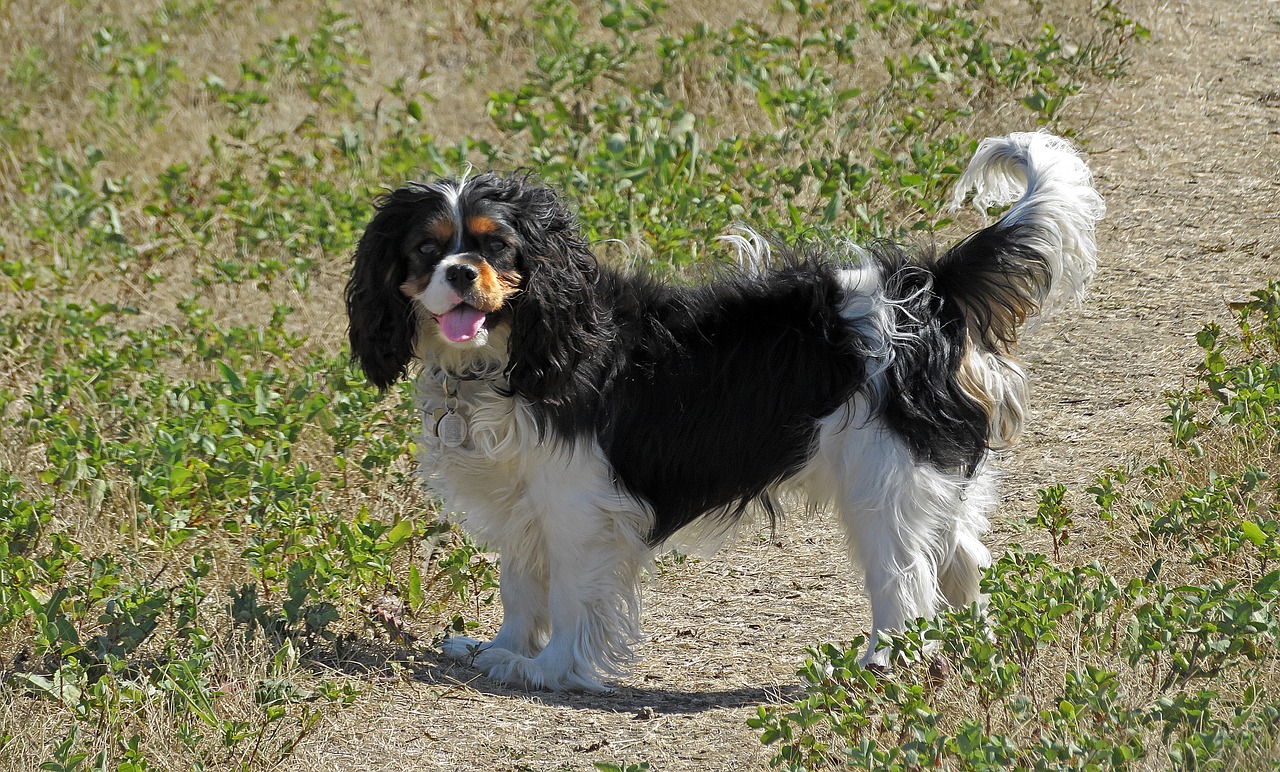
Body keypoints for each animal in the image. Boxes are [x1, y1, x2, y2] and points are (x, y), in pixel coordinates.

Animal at [345, 133, 1105, 696]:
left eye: (496, 247)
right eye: (426, 250)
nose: (460, 272)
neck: (512, 352)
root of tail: (930, 285)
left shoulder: (578, 505)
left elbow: (567, 596)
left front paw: (551, 670)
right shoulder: (525, 499)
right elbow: (520, 585)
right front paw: (498, 650)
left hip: (881, 485)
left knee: (904, 584)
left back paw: (879, 666)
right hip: (931, 476)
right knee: (963, 561)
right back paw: (974, 651)